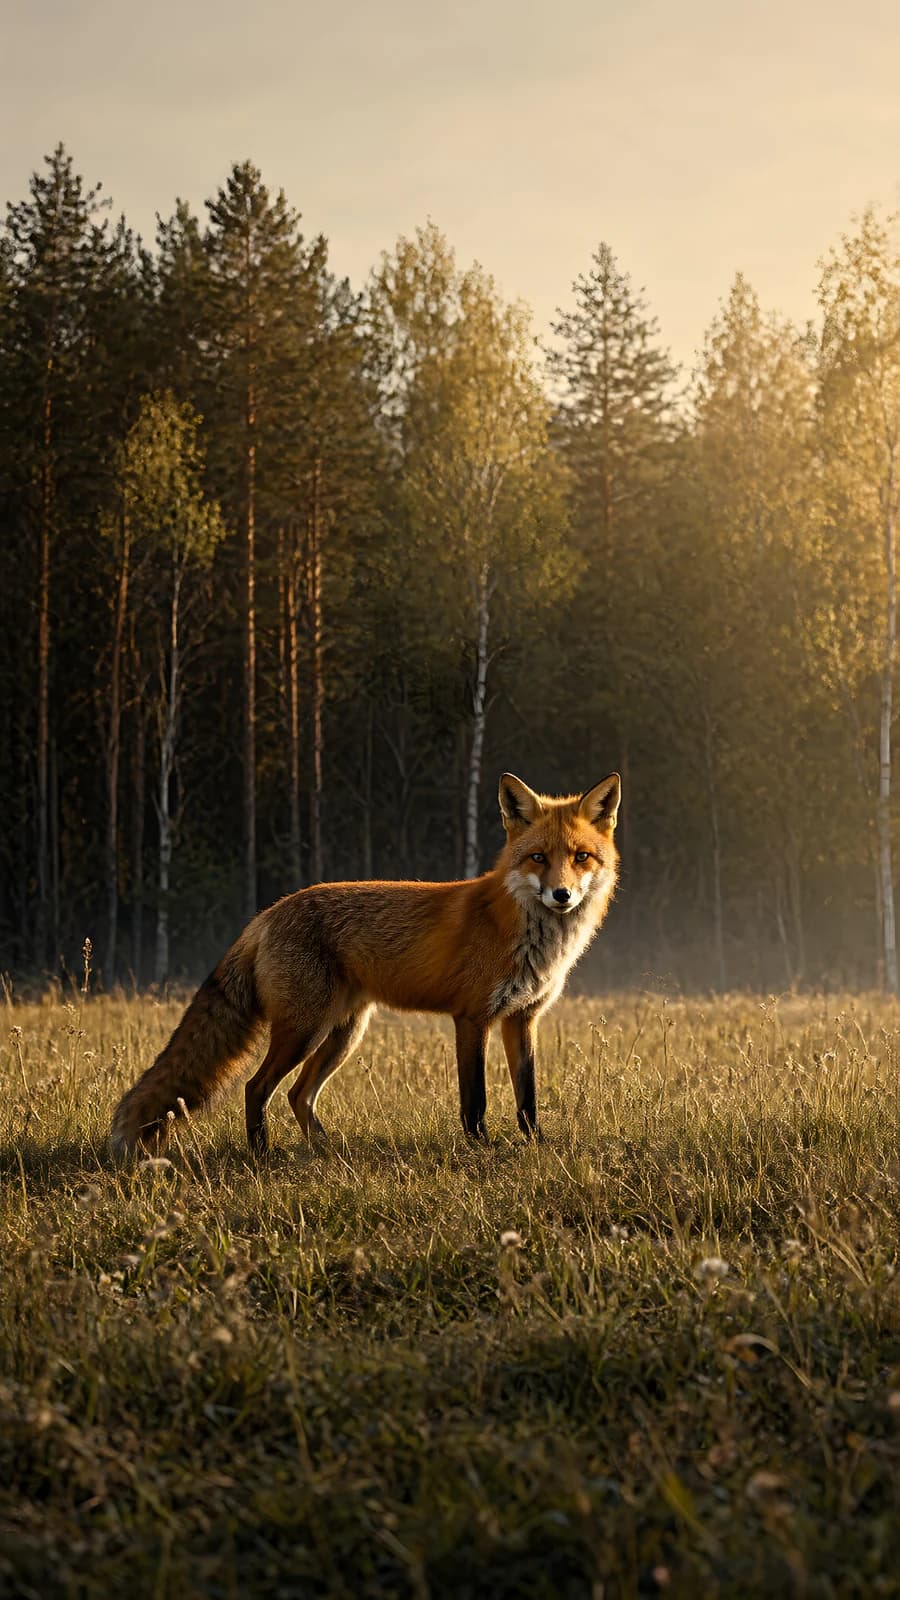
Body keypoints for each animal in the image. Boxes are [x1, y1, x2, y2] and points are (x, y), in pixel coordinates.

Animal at [109, 771, 621, 1157]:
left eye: (581, 857)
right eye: (538, 857)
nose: (562, 895)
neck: (525, 934)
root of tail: (268, 913)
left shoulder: (522, 1018)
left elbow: (527, 1096)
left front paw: (535, 1145)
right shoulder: (472, 1017)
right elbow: (474, 1099)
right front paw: (480, 1148)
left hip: (343, 1034)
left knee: (297, 1094)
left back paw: (324, 1149)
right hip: (304, 1029)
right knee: (257, 1087)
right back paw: (262, 1153)